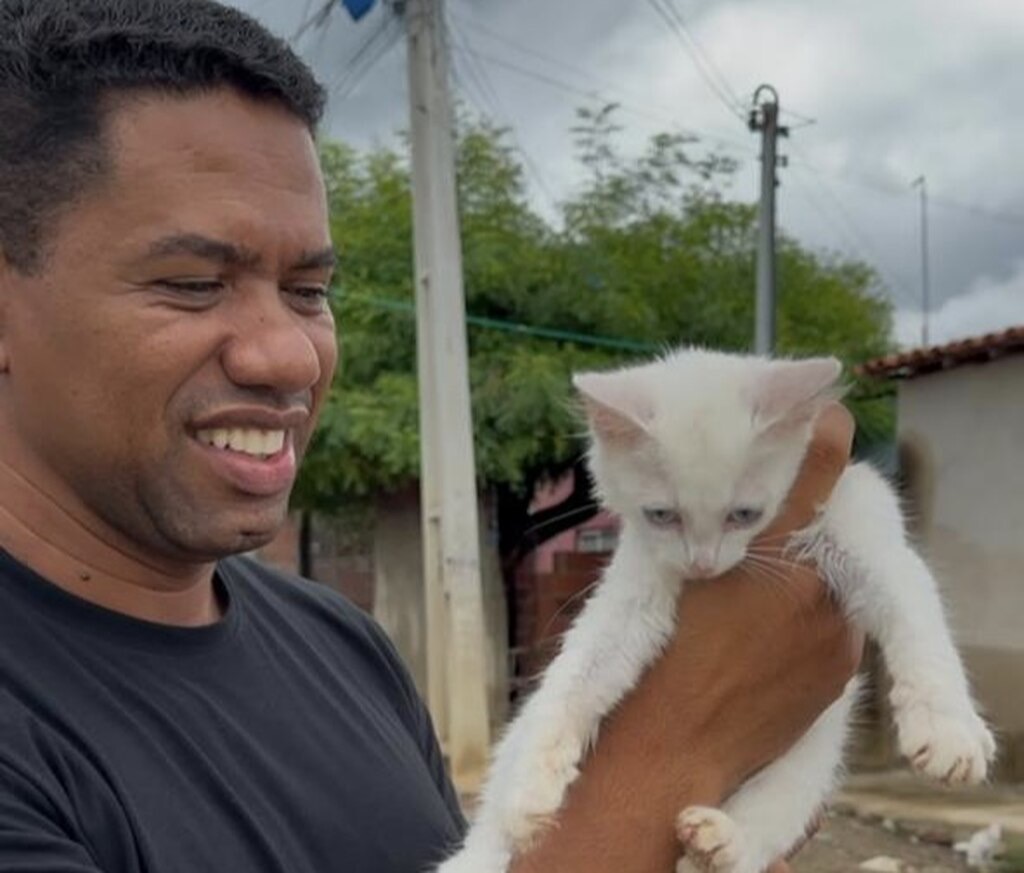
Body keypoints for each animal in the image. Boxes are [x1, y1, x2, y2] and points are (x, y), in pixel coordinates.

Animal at [436, 347, 995, 871]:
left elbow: (914, 614)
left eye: (743, 514)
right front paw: (530, 784)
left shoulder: (865, 528)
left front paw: (948, 729)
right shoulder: (637, 592)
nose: (702, 563)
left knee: (773, 816)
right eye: (662, 515)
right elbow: (577, 674)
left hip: (809, 763)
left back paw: (723, 843)